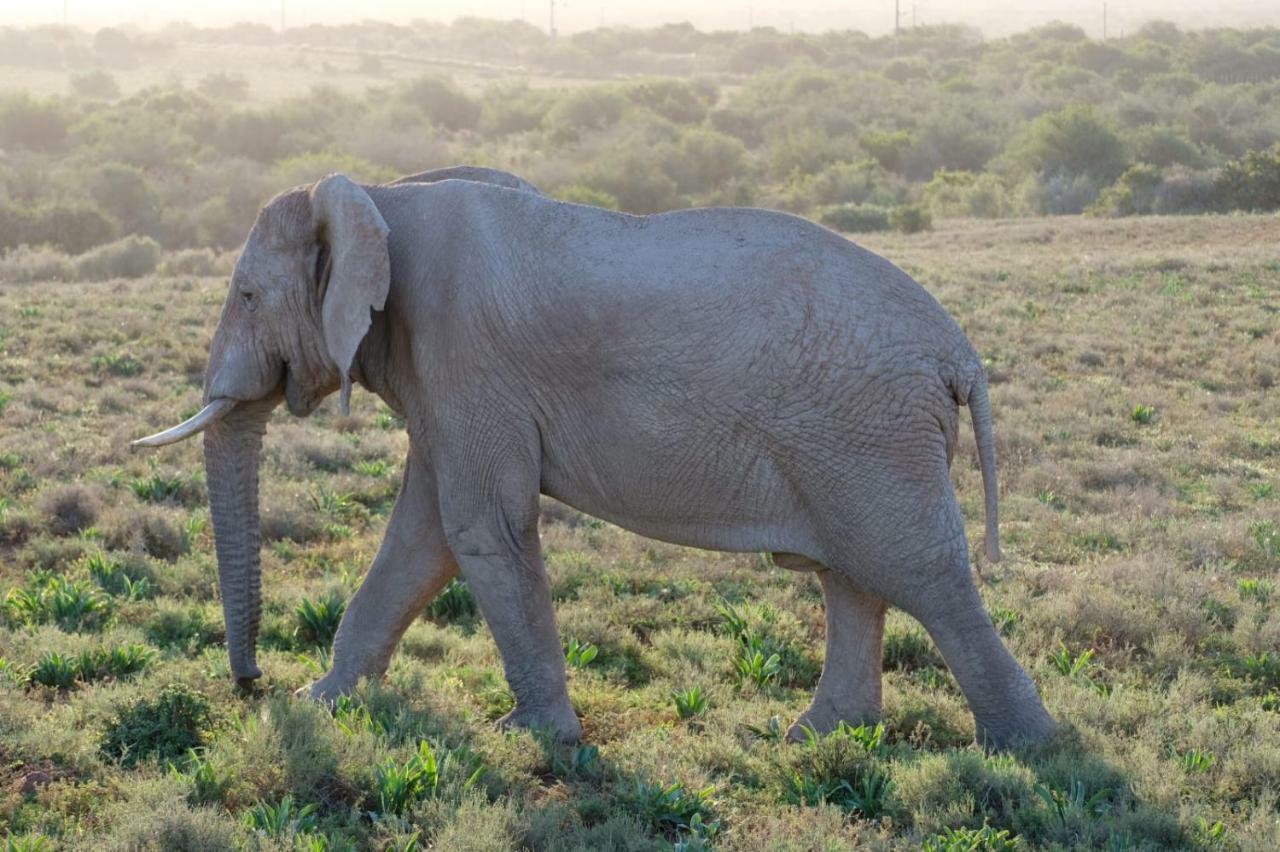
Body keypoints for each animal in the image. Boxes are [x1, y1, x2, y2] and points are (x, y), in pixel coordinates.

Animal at [137, 163, 1059, 741]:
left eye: (245, 295)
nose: (249, 684)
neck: (383, 193)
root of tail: (961, 356)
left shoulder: (468, 361)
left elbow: (478, 529)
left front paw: (536, 738)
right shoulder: (449, 383)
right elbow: (425, 536)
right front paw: (323, 702)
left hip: (871, 437)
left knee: (920, 575)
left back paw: (1033, 753)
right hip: (851, 440)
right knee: (853, 577)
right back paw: (814, 736)